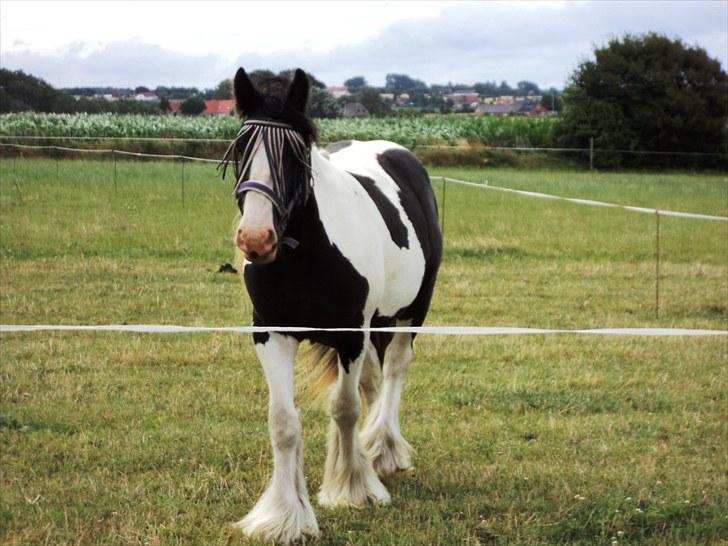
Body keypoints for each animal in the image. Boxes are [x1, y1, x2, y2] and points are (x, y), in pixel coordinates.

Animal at [219, 68, 440, 540]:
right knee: (372, 381)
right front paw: (283, 516)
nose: (256, 239)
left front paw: (354, 489)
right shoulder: (271, 334)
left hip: (410, 313)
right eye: (242, 149)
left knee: (394, 371)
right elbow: (283, 422)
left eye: (295, 155)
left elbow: (345, 407)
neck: (305, 256)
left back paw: (384, 450)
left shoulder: (350, 335)